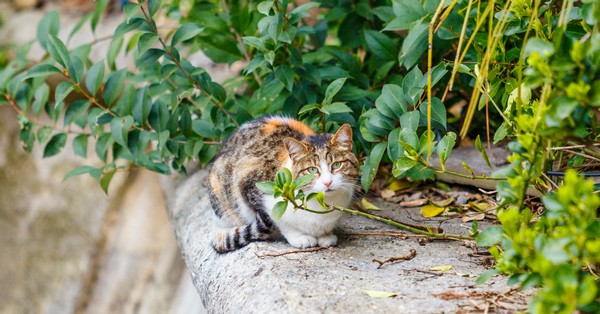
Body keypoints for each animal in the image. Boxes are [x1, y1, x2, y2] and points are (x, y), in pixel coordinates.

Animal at [209, 116, 358, 254]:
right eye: (312, 169)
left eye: (337, 165)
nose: (328, 182)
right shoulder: (249, 183)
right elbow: (278, 220)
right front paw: (299, 237)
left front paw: (325, 235)